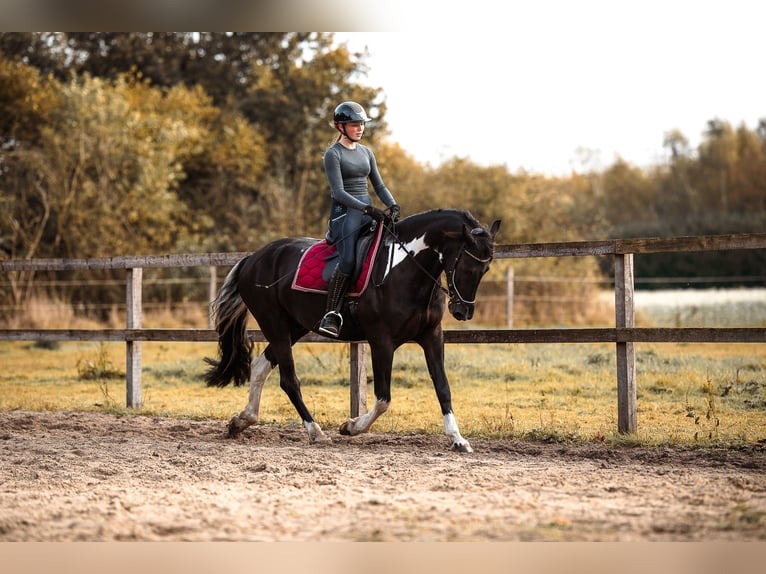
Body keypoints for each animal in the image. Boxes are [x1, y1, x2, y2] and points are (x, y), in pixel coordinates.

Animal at [206, 209, 504, 452]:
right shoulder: (381, 341)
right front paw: (350, 427)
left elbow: (442, 387)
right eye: (467, 266)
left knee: (260, 366)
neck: (405, 270)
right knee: (289, 381)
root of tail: (253, 258)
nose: (463, 312)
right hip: (276, 325)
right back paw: (316, 432)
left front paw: (458, 440)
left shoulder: (432, 336)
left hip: (295, 326)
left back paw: (240, 421)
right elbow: (383, 398)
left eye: (486, 268)